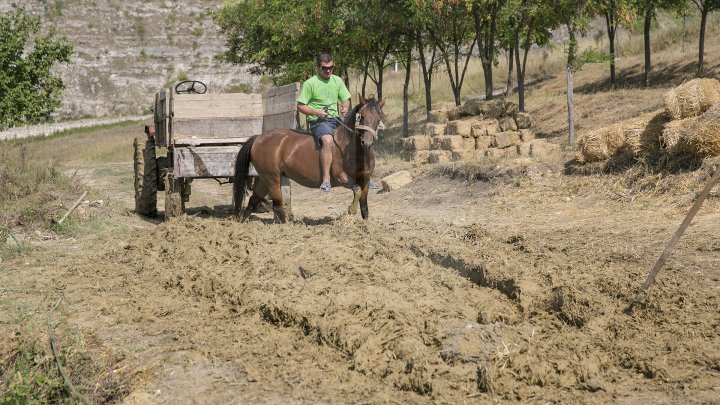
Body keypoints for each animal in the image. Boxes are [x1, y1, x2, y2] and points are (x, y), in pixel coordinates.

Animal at [233, 93, 386, 223]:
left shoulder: (365, 181)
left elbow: (364, 206)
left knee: (254, 200)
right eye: (362, 116)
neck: (352, 151)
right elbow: (356, 190)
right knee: (277, 205)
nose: (367, 143)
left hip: (265, 178)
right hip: (273, 178)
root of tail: (258, 138)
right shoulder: (341, 178)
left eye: (378, 118)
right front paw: (351, 209)